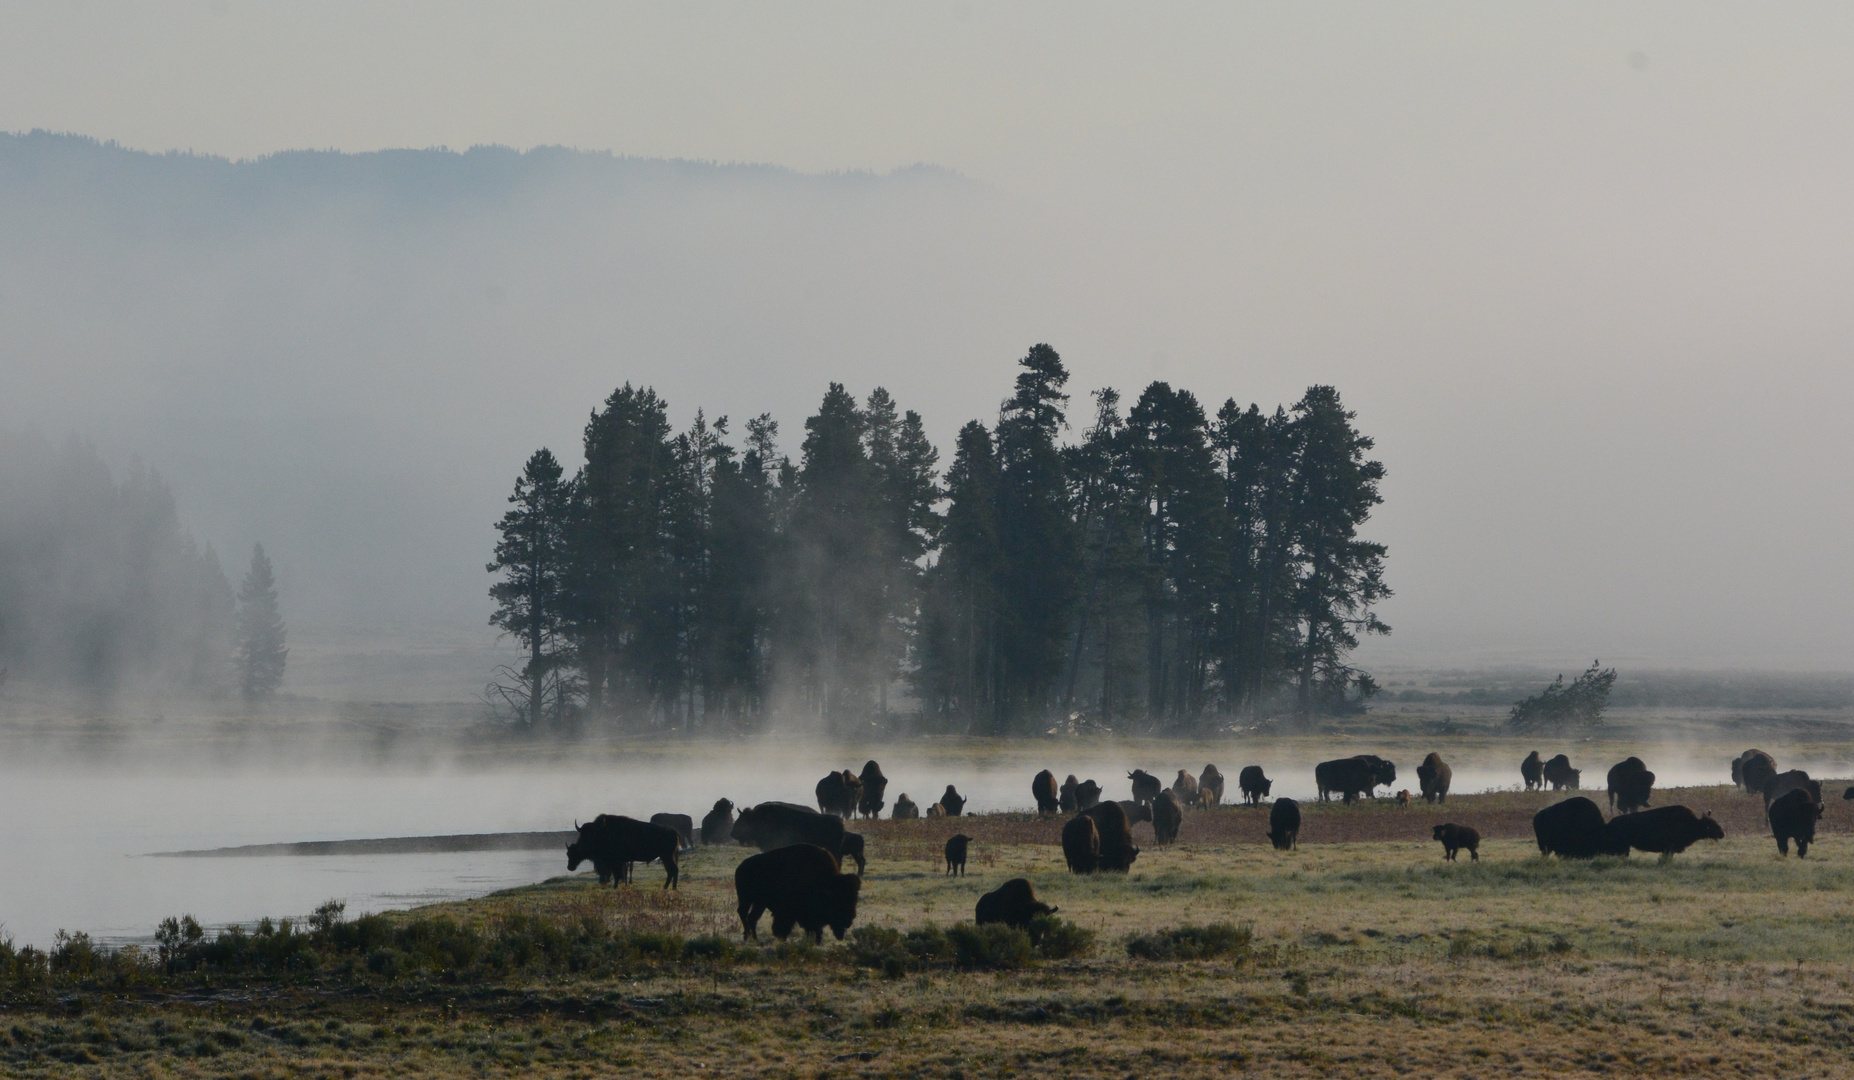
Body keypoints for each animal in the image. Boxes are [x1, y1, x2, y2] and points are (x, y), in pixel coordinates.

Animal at [730, 848, 860, 941]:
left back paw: (755, 938)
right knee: (743, 913)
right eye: (839, 900)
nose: (850, 919)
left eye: (855, 899)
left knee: (752, 918)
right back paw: (747, 936)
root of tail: (740, 867)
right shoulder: (786, 912)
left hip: (759, 903)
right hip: (746, 899)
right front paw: (781, 937)